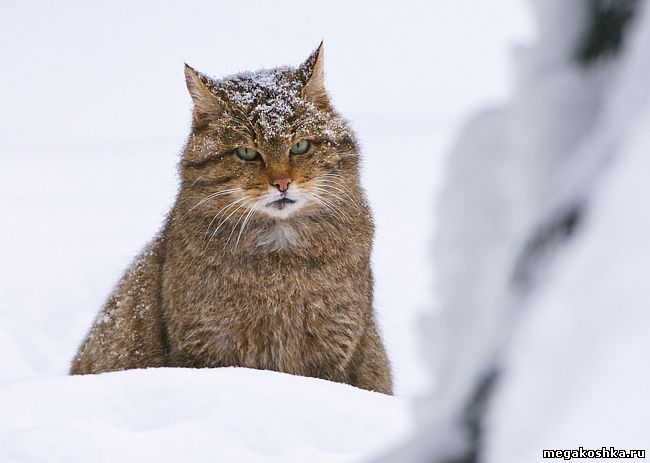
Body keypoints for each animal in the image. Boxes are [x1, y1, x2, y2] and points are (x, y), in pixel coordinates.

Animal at [67, 44, 390, 396]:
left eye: (300, 146)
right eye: (246, 153)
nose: (282, 182)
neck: (280, 263)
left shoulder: (335, 345)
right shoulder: (203, 345)